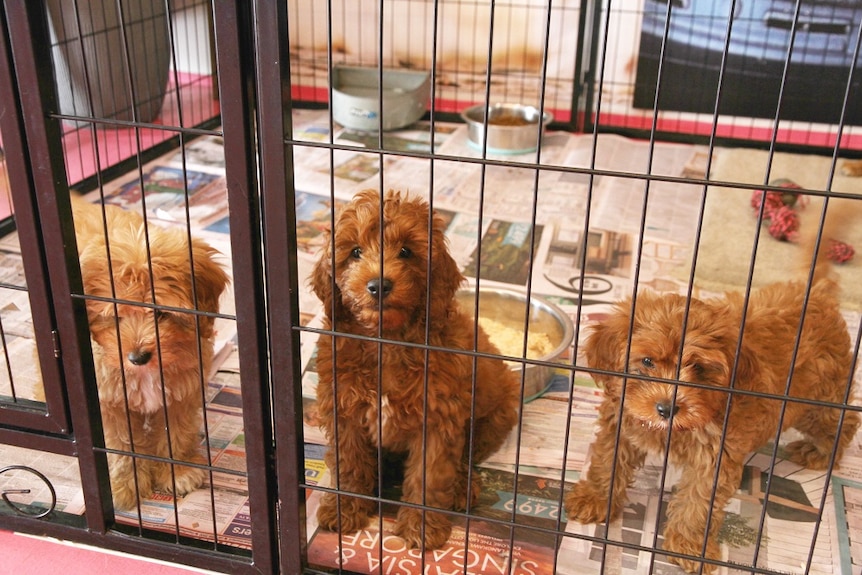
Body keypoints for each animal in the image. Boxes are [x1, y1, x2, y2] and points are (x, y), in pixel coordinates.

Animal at [72, 196, 230, 510]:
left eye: (159, 313)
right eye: (115, 315)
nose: (137, 358)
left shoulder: (180, 393)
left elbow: (175, 435)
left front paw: (177, 472)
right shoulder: (108, 402)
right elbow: (120, 446)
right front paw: (124, 484)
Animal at [314, 188, 524, 548]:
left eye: (406, 252)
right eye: (355, 251)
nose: (378, 285)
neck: (387, 340)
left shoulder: (438, 420)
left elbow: (429, 477)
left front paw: (421, 528)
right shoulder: (344, 410)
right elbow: (349, 463)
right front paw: (344, 508)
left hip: (497, 414)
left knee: (466, 458)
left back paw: (461, 487)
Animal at [568, 202, 862, 572]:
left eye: (699, 368)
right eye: (647, 362)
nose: (666, 408)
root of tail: (816, 293)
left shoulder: (715, 456)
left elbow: (699, 502)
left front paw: (688, 547)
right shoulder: (621, 424)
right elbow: (608, 461)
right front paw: (593, 497)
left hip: (818, 402)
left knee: (843, 422)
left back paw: (820, 452)